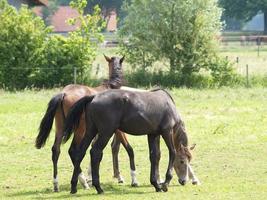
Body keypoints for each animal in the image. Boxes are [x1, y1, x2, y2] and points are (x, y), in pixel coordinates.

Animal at [34, 55, 139, 192]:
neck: (110, 86)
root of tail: (64, 93)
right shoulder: (117, 130)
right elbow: (128, 149)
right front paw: (133, 179)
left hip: (60, 127)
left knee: (56, 150)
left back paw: (57, 184)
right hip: (80, 130)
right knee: (73, 151)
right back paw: (83, 182)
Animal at [63, 88, 199, 194]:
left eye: (190, 160)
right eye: (182, 161)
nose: (183, 181)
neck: (169, 105)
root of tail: (93, 97)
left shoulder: (153, 134)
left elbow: (154, 156)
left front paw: (156, 184)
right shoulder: (167, 131)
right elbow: (172, 152)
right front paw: (165, 183)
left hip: (91, 131)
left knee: (81, 152)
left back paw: (74, 186)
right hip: (106, 132)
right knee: (95, 152)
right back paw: (98, 187)